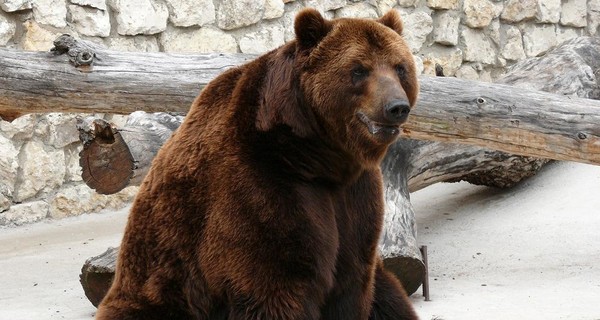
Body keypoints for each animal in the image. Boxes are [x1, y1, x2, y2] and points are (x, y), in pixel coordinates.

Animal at [96, 7, 420, 320]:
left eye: (400, 67)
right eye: (359, 69)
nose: (396, 107)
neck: (317, 157)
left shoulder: (354, 197)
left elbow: (352, 281)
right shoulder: (263, 184)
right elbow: (275, 283)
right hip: (157, 287)